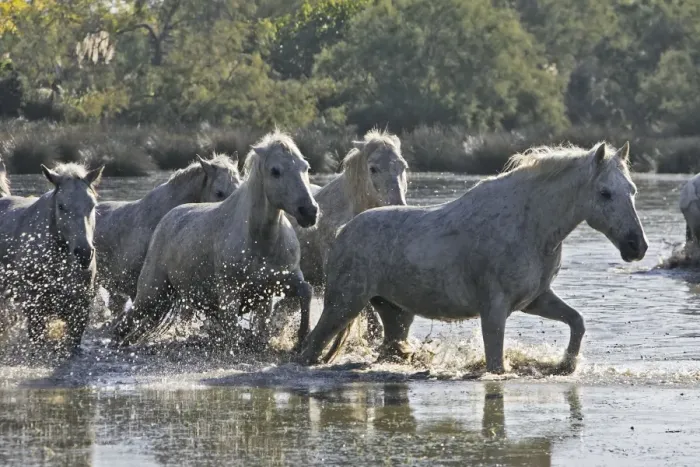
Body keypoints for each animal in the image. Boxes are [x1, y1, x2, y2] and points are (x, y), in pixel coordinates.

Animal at [111, 131, 319, 348]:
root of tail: (169, 216)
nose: (309, 212)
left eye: (305, 167)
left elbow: (306, 291)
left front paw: (303, 335)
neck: (261, 242)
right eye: (275, 171)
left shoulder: (282, 280)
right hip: (151, 293)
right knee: (126, 321)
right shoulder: (230, 293)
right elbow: (233, 332)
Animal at [298, 142, 648, 375]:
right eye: (604, 193)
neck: (530, 226)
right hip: (343, 304)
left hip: (394, 314)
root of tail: (343, 232)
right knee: (311, 346)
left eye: (631, 190)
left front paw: (566, 364)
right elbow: (496, 364)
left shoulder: (535, 299)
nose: (637, 246)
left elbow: (577, 321)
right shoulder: (494, 309)